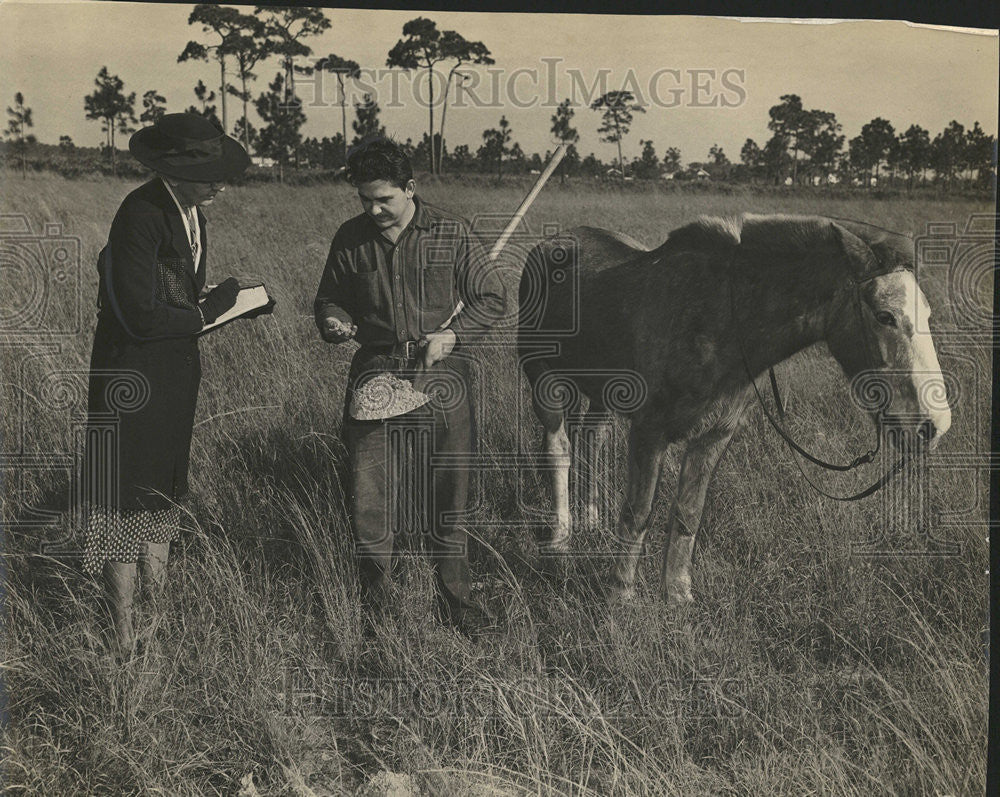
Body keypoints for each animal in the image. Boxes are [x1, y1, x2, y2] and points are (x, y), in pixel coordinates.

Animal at [520, 213, 948, 604]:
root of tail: (555, 240)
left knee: (591, 437)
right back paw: (560, 539)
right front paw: (618, 599)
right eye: (885, 316)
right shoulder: (649, 433)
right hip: (544, 381)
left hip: (601, 392)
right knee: (559, 449)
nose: (934, 426)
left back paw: (590, 520)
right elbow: (638, 512)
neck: (721, 319)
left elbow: (688, 513)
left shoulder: (714, 436)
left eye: (928, 314)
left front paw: (677, 599)